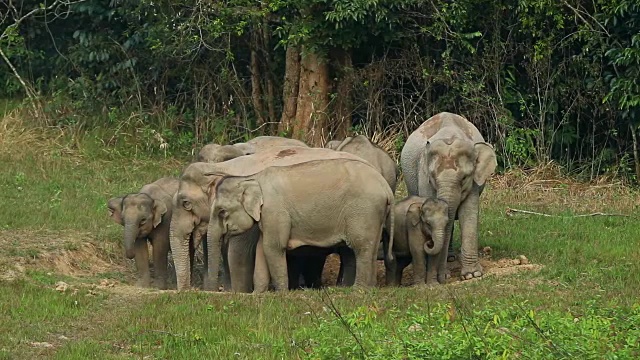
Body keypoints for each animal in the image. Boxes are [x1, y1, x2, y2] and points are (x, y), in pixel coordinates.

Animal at [208, 156, 396, 292]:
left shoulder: (275, 210)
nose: (215, 290)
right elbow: (262, 248)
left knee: (361, 247)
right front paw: (258, 294)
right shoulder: (268, 217)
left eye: (222, 211)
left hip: (364, 211)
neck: (252, 178)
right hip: (374, 215)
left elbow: (273, 247)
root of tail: (385, 187)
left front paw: (282, 294)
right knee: (370, 248)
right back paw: (369, 289)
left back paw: (357, 290)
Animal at [400, 112, 500, 284]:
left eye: (464, 178)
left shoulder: (474, 182)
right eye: (433, 177)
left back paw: (451, 258)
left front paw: (472, 275)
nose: (443, 278)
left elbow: (469, 213)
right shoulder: (423, 176)